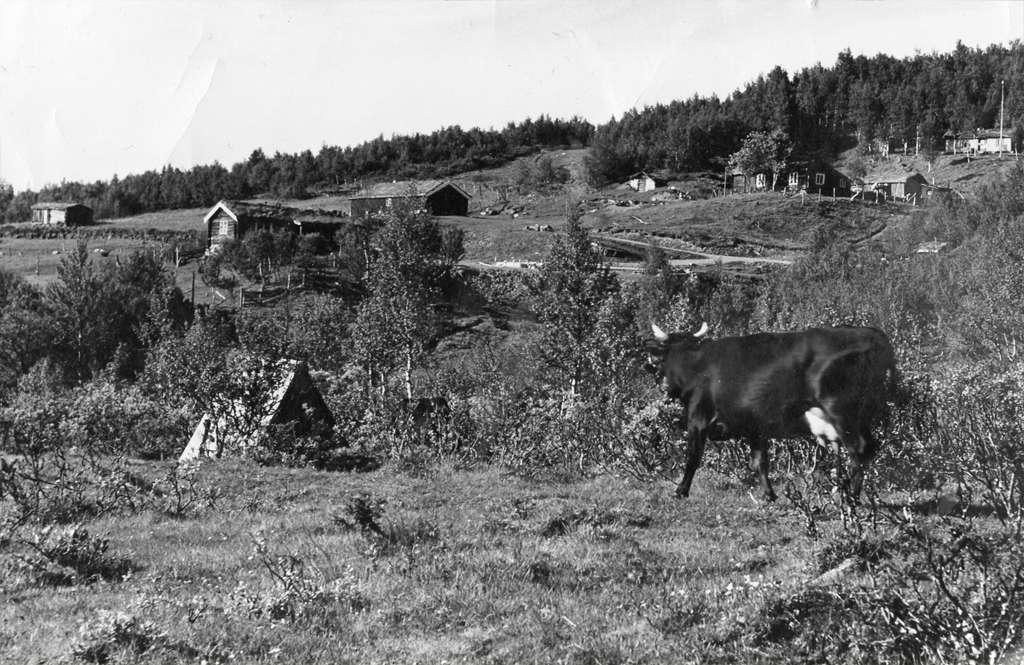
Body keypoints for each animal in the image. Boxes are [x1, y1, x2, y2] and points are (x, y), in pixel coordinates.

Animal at [647, 319, 897, 497]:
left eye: (664, 357)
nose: (663, 384)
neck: (696, 365)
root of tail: (870, 333)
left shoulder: (698, 419)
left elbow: (693, 457)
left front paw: (680, 490)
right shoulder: (755, 427)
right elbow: (760, 462)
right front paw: (769, 495)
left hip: (843, 412)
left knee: (858, 450)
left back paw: (850, 496)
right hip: (863, 416)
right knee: (870, 448)